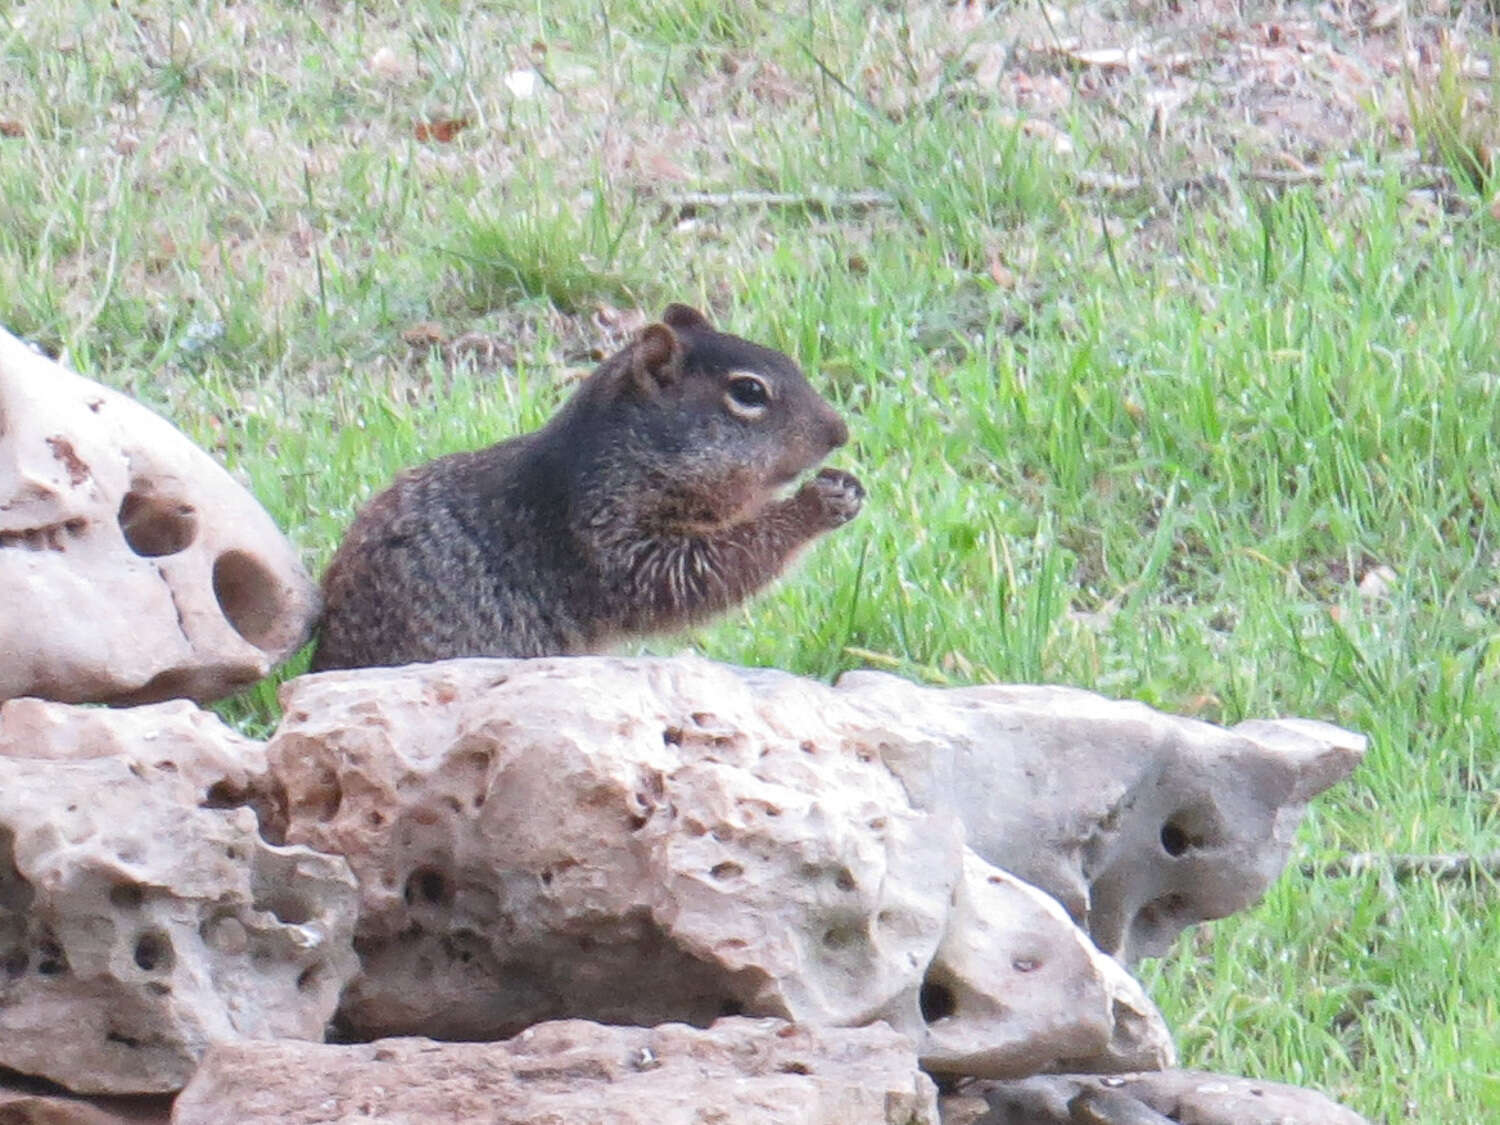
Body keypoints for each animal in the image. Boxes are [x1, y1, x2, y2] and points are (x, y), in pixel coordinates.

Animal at [310, 301, 864, 669]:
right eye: (748, 392)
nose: (840, 432)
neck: (627, 452)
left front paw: (845, 484)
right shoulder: (605, 532)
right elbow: (694, 572)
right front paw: (815, 504)